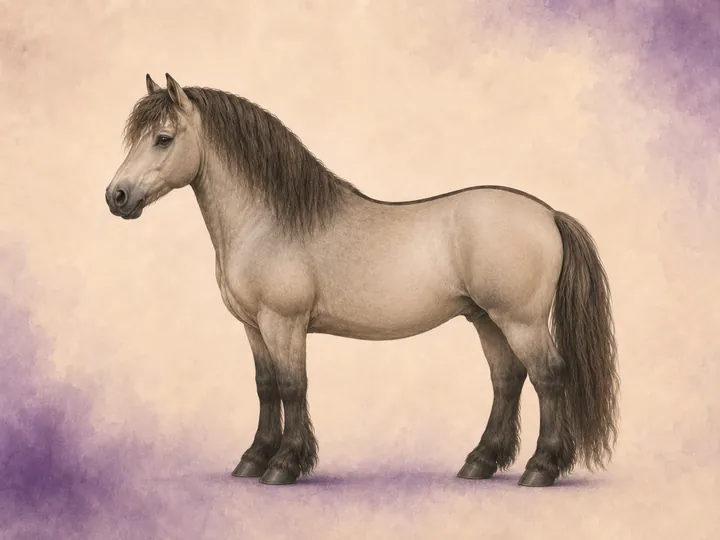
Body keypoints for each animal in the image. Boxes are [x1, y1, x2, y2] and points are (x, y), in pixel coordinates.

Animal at [104, 73, 619, 487]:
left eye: (163, 138)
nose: (116, 196)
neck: (270, 221)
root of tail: (548, 214)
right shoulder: (253, 326)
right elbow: (266, 386)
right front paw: (253, 459)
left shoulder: (283, 322)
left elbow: (292, 386)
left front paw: (284, 465)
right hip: (487, 319)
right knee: (507, 380)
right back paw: (480, 462)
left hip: (521, 321)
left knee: (549, 378)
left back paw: (541, 468)